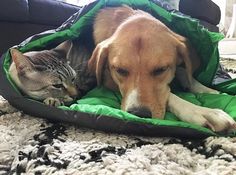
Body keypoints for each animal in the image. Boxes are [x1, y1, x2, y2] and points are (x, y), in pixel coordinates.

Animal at [88, 6, 236, 132]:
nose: (139, 113)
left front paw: (205, 89)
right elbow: (169, 93)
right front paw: (201, 111)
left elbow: (184, 71)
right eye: (120, 70)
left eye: (161, 69)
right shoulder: (108, 80)